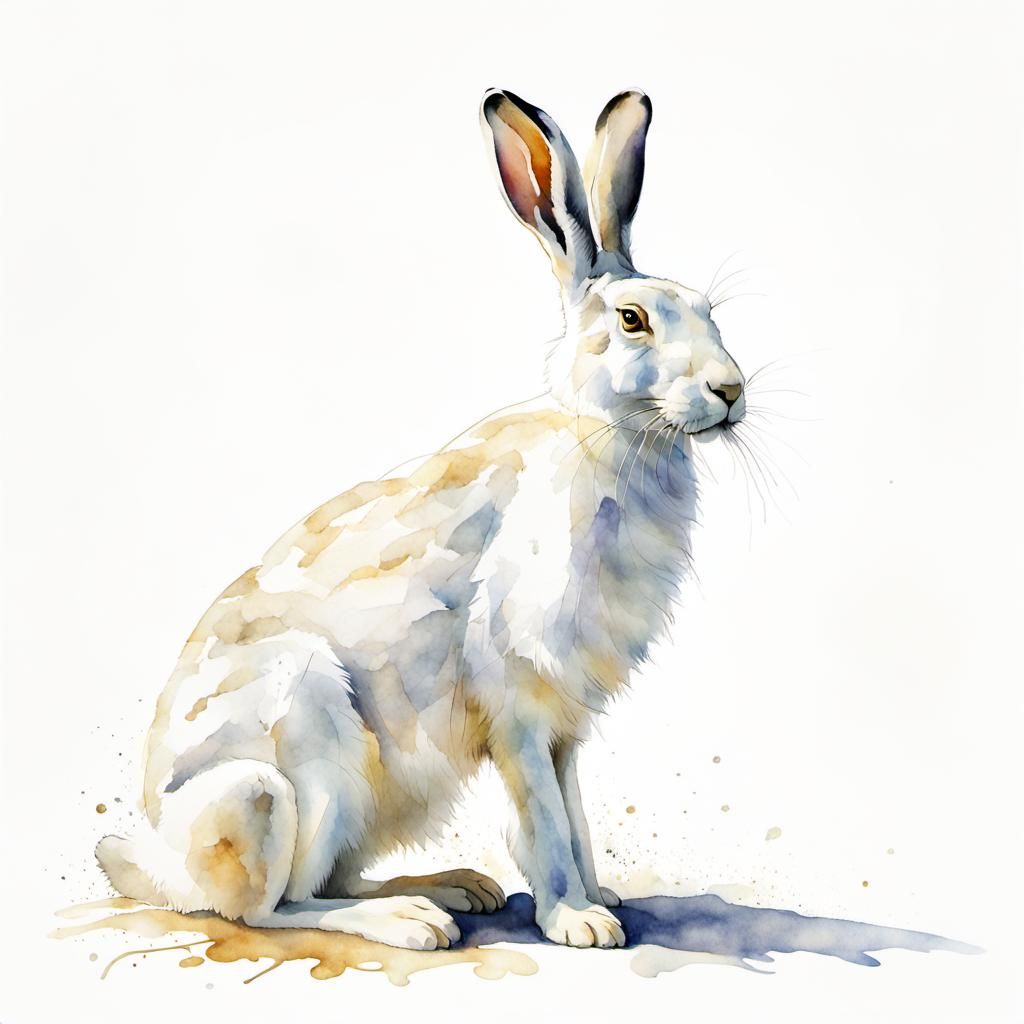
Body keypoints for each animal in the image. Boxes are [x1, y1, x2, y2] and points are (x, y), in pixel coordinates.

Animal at [96, 88, 746, 951]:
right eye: (633, 319)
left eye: (709, 310)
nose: (732, 391)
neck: (606, 433)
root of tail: (164, 865)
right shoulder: (517, 703)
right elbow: (543, 817)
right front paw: (577, 921)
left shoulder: (565, 726)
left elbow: (573, 812)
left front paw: (600, 899)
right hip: (285, 776)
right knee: (278, 905)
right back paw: (411, 920)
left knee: (326, 878)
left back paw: (454, 887)